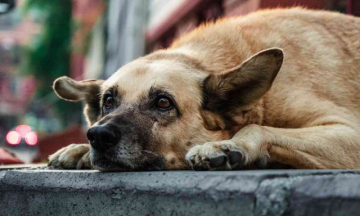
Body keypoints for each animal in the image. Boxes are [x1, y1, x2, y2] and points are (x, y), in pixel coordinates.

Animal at [47, 7, 360, 171]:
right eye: (109, 101)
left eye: (163, 102)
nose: (98, 136)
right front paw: (79, 150)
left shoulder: (349, 132)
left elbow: (257, 128)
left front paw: (229, 145)